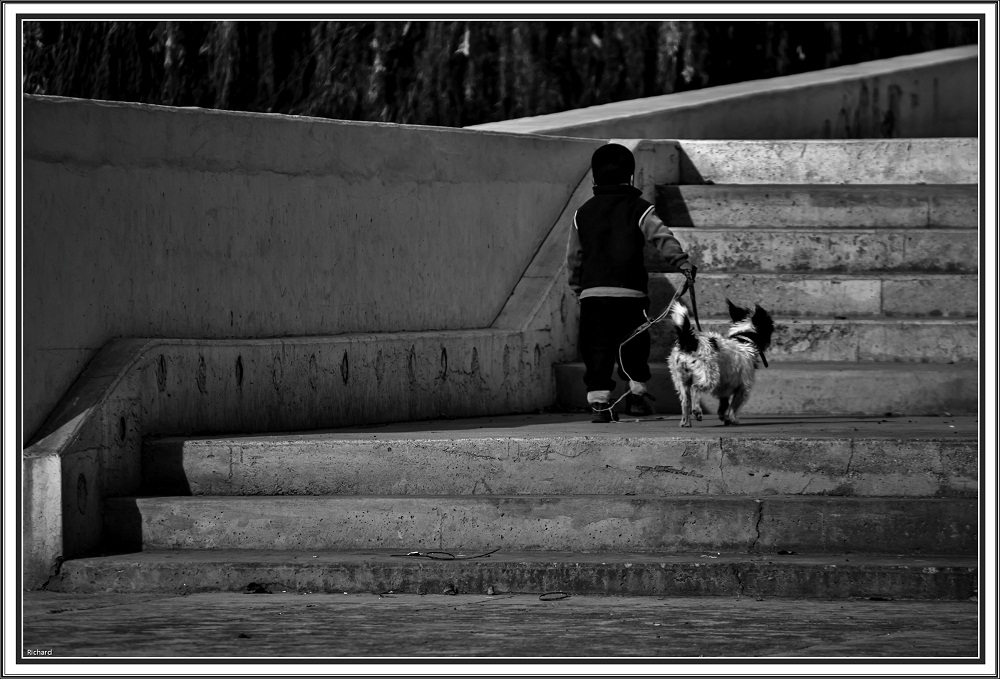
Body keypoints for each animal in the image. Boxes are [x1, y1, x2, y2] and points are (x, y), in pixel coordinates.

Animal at [668, 300, 776, 428]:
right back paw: (697, 411)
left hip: (681, 379)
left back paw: (686, 421)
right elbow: (734, 406)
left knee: (686, 401)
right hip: (709, 375)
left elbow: (724, 404)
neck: (745, 339)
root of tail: (690, 342)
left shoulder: (725, 385)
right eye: (769, 324)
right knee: (695, 388)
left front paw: (724, 417)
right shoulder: (743, 388)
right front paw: (732, 419)